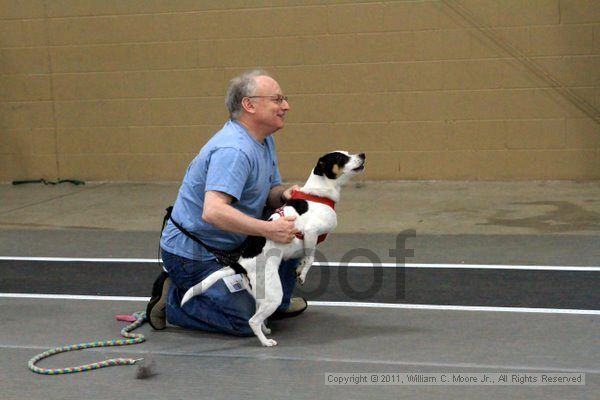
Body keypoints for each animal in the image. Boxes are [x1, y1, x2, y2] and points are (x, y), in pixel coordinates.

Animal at [179, 152, 366, 346]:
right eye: (341, 158)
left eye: (348, 153)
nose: (362, 154)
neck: (319, 194)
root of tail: (242, 265)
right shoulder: (310, 232)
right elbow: (311, 258)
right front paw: (303, 273)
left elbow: (304, 258)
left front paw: (299, 268)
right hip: (273, 295)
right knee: (253, 321)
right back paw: (266, 341)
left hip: (260, 296)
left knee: (258, 315)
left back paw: (266, 330)